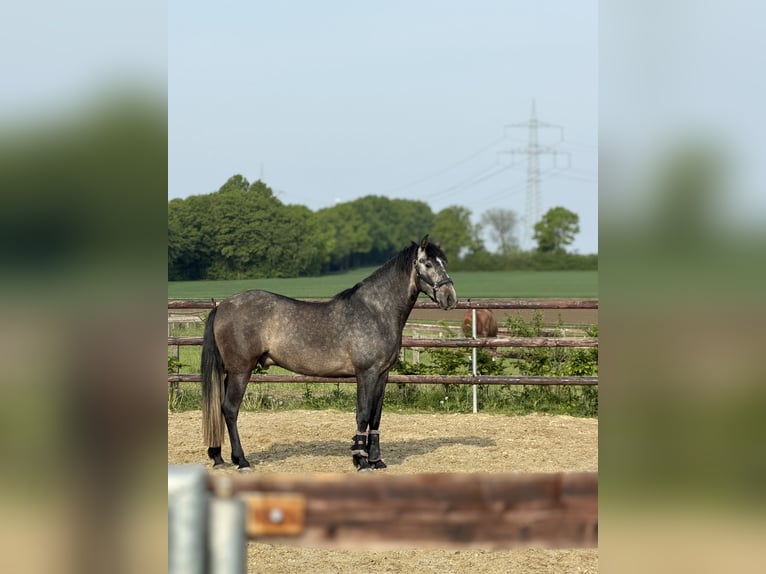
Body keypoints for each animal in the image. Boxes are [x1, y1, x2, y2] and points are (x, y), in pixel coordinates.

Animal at [201, 235, 458, 471]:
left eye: (444, 262)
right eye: (427, 263)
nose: (450, 298)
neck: (376, 312)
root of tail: (223, 306)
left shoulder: (383, 375)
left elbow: (376, 416)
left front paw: (376, 460)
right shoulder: (366, 373)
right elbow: (363, 414)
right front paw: (361, 461)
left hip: (231, 372)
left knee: (222, 408)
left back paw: (220, 456)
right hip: (241, 371)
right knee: (230, 409)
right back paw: (242, 461)